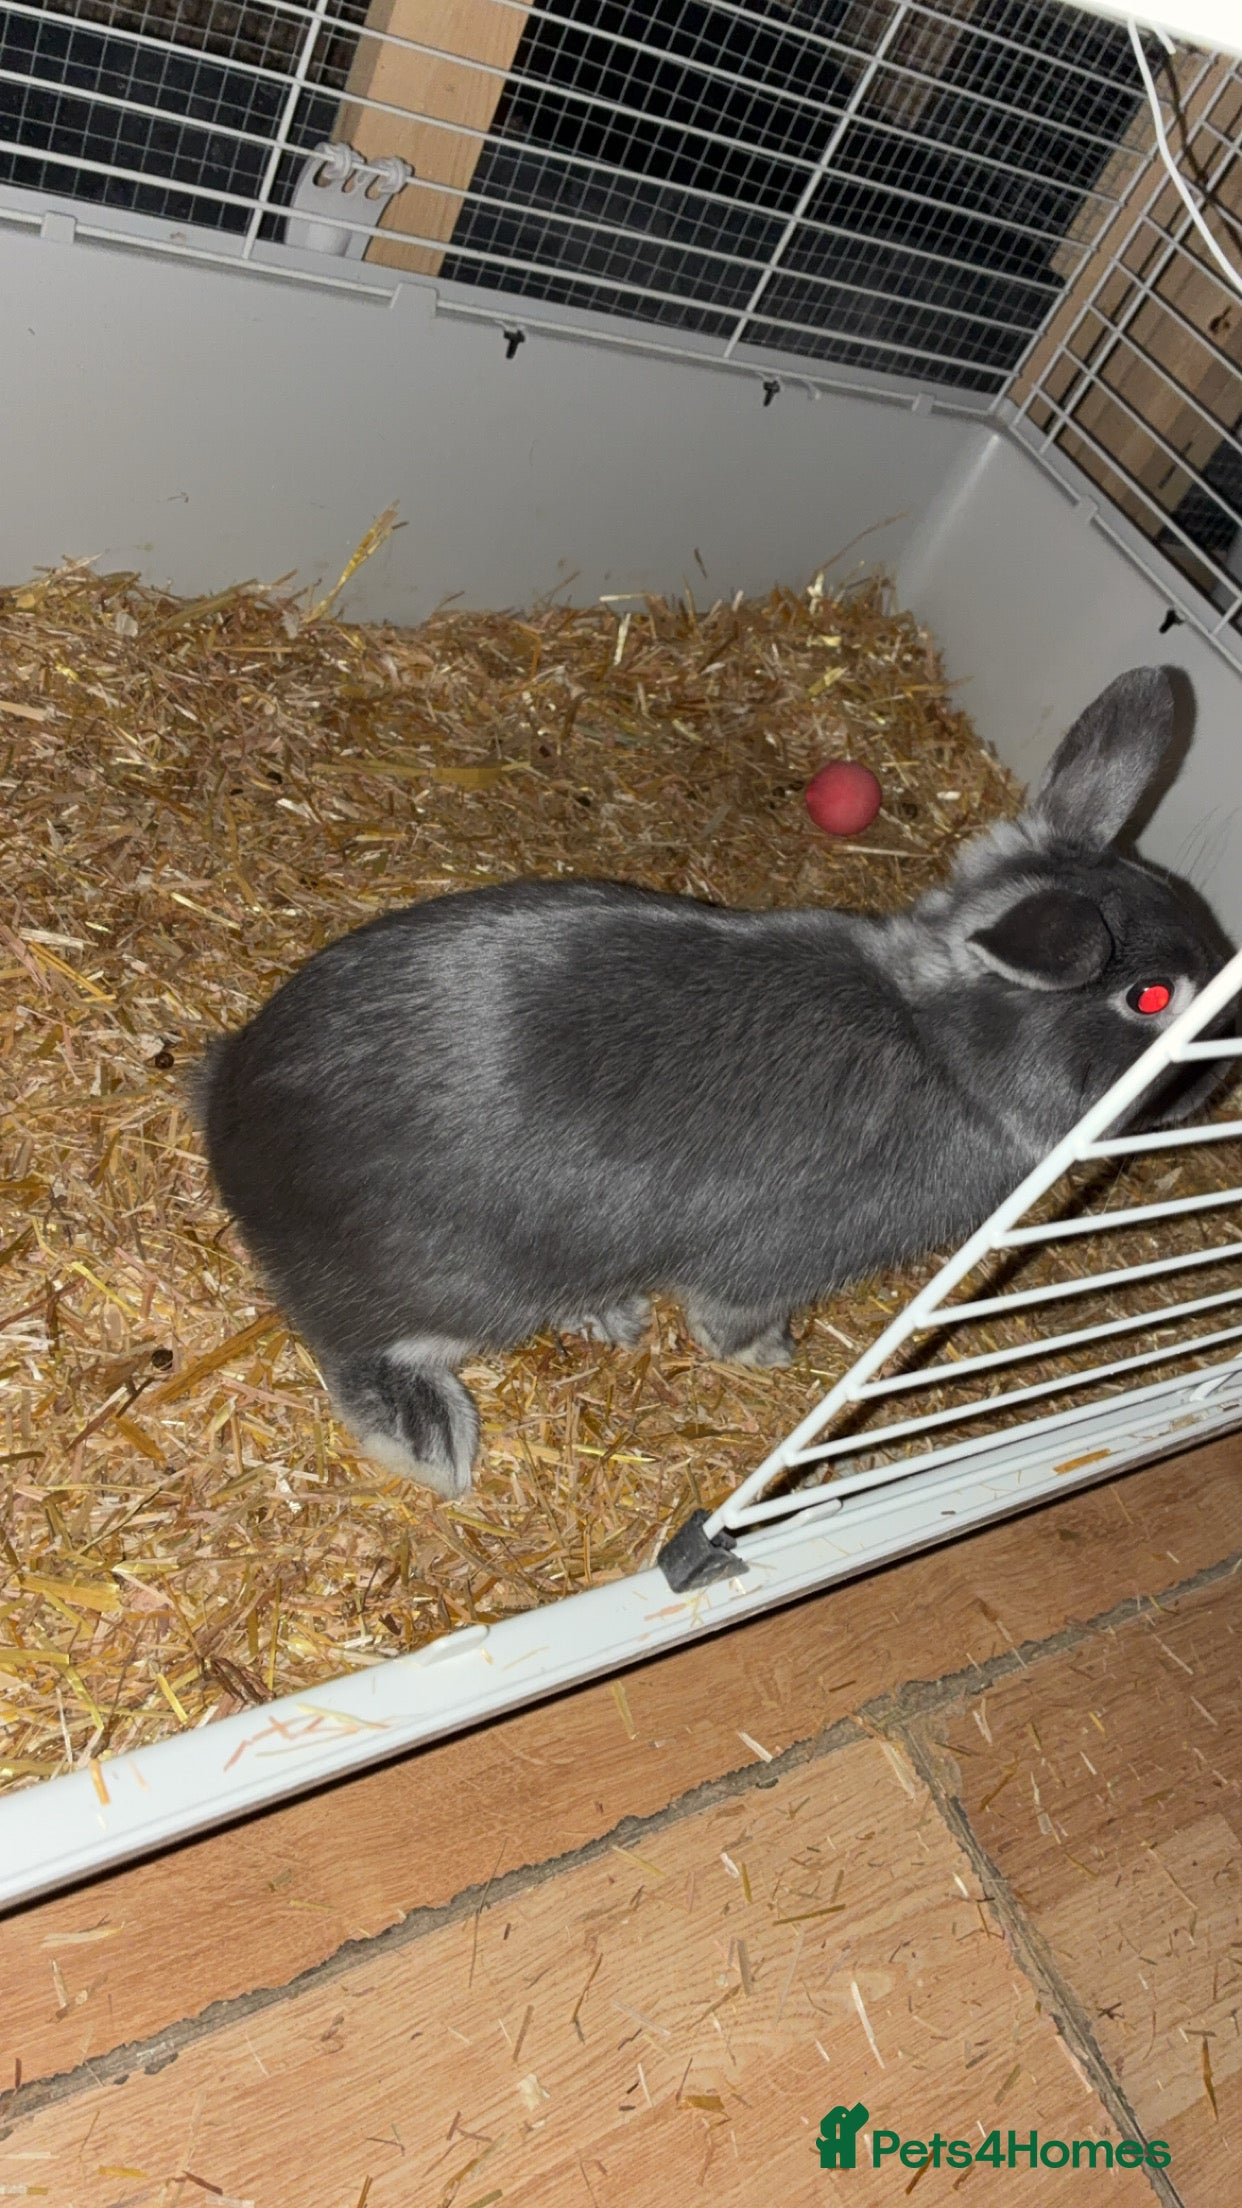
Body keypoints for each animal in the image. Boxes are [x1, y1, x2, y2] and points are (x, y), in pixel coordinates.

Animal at [194, 666, 1234, 1500]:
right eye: (1149, 998)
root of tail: (228, 1113)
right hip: (451, 1286)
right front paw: (771, 1355)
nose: (1221, 1063)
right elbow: (730, 1317)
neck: (944, 1050)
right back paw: (428, 1436)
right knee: (348, 1340)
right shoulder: (777, 1258)